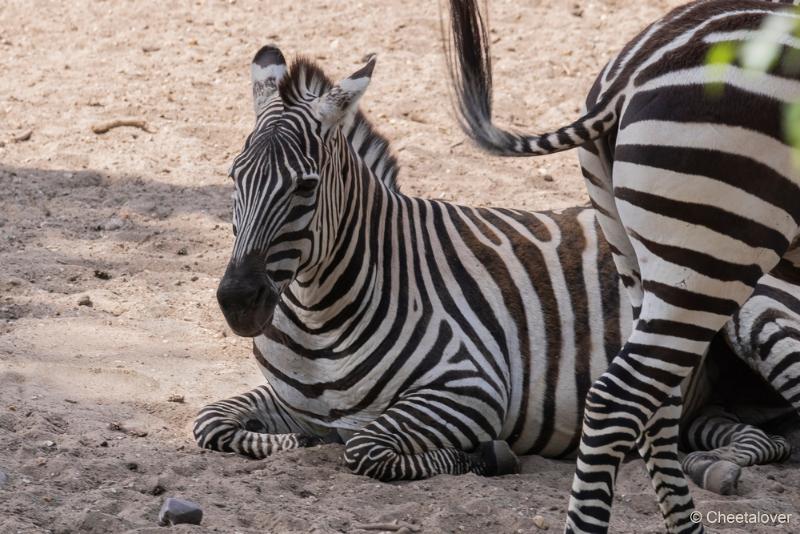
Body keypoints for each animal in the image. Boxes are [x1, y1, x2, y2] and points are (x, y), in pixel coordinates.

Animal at [195, 44, 792, 496]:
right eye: (233, 175)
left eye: (306, 186)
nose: (237, 301)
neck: (320, 317)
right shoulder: (291, 402)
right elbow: (212, 421)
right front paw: (292, 441)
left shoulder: (471, 388)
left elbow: (366, 448)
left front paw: (482, 456)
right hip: (710, 398)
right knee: (768, 437)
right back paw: (713, 464)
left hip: (760, 319)